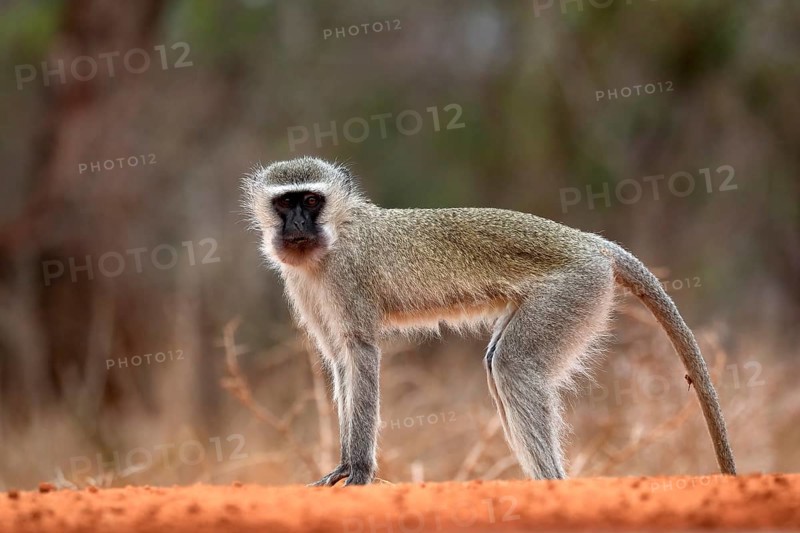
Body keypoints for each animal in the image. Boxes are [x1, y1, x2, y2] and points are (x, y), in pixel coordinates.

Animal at [242, 156, 737, 486]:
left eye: (311, 200)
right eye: (286, 204)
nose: (297, 225)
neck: (334, 239)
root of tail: (590, 243)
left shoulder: (350, 277)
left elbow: (361, 353)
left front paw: (359, 471)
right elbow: (340, 360)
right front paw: (345, 464)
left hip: (574, 290)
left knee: (512, 365)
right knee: (498, 361)